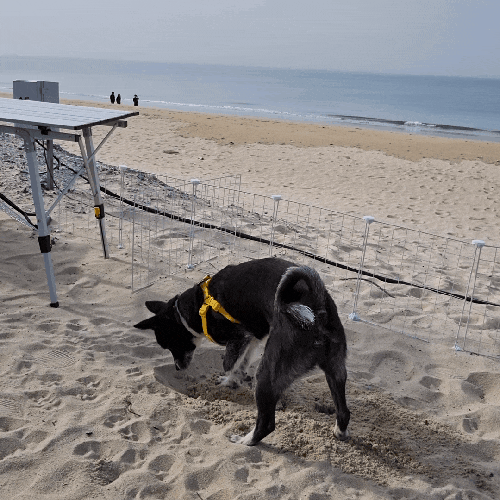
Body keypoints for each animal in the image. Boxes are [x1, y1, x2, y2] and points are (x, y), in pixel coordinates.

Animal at [134, 257, 350, 446]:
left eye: (168, 345)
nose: (178, 368)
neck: (196, 308)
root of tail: (318, 311)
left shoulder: (240, 337)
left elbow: (229, 364)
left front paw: (231, 381)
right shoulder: (253, 337)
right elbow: (242, 362)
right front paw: (234, 380)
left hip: (266, 375)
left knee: (266, 424)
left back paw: (245, 441)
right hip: (336, 371)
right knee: (344, 412)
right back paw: (340, 432)